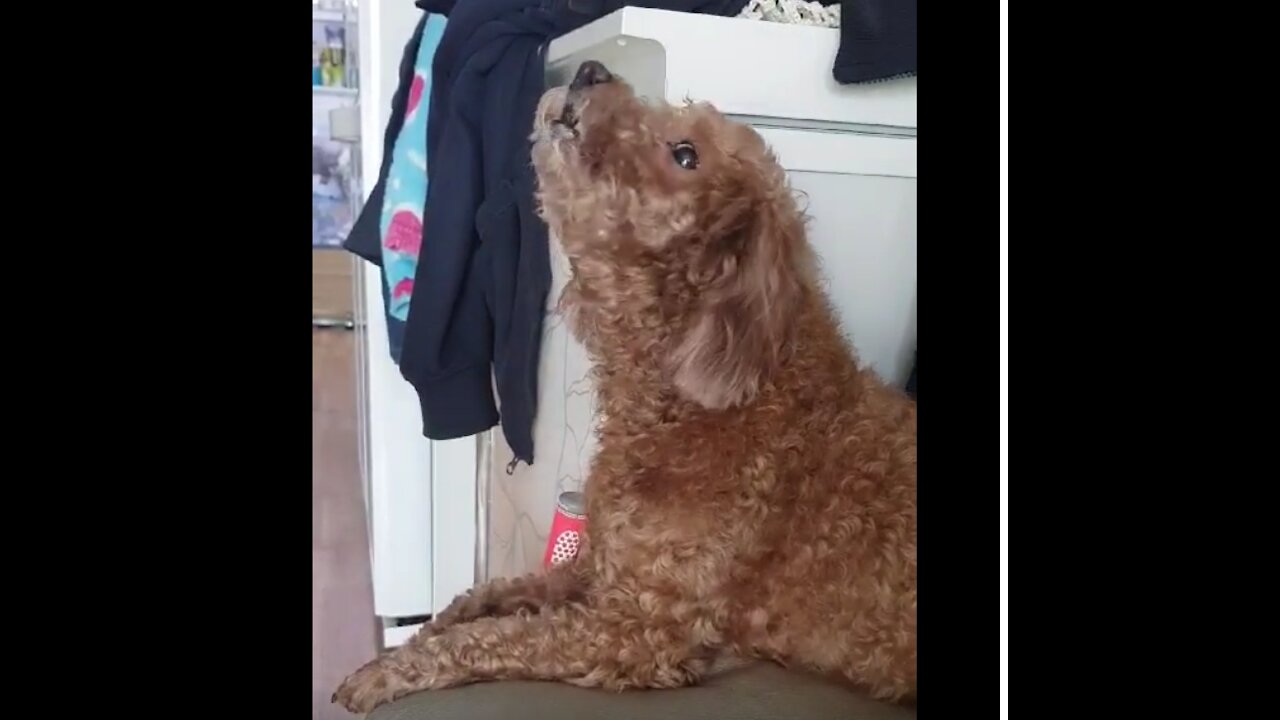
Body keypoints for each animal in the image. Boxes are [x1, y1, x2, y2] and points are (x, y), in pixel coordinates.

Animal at [335, 61, 916, 712]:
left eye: (686, 155)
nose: (591, 68)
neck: (681, 406)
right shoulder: (598, 566)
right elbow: (485, 598)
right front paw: (417, 635)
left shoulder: (637, 633)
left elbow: (497, 636)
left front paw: (389, 672)